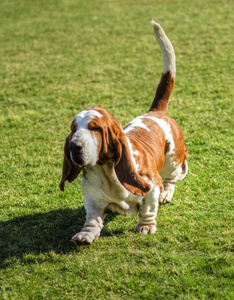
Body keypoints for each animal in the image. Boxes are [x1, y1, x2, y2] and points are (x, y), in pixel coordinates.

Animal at [59, 21, 188, 246]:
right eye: (73, 129)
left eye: (94, 127)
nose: (74, 146)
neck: (106, 169)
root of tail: (156, 112)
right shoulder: (92, 199)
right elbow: (92, 218)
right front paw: (86, 234)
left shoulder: (151, 185)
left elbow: (148, 209)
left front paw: (145, 227)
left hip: (172, 161)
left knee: (173, 177)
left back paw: (166, 194)